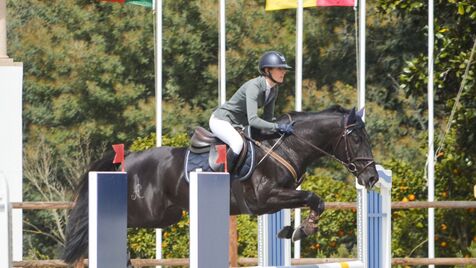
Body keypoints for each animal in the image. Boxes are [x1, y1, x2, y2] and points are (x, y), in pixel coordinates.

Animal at [61, 105, 380, 264]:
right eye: (356, 138)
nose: (372, 178)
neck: (287, 146)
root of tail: (127, 157)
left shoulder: (278, 198)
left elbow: (312, 200)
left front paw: (294, 229)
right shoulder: (264, 199)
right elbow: (314, 197)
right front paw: (304, 229)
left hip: (166, 216)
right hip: (147, 212)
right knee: (105, 222)